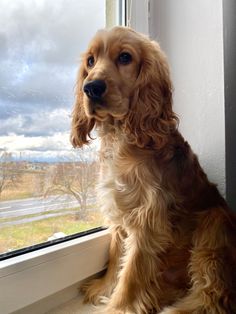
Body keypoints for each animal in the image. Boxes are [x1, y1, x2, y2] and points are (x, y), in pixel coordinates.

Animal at [70, 26, 236, 314]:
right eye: (90, 61)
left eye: (125, 57)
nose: (90, 88)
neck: (121, 135)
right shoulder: (118, 207)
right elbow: (116, 256)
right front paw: (103, 288)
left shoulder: (148, 218)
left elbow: (132, 272)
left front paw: (119, 307)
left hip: (214, 224)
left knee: (213, 296)